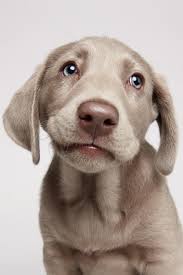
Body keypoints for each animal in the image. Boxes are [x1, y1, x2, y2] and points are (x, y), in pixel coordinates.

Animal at [3, 37, 183, 275]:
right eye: (69, 69)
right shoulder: (55, 253)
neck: (93, 200)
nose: (98, 116)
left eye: (136, 80)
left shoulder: (164, 254)